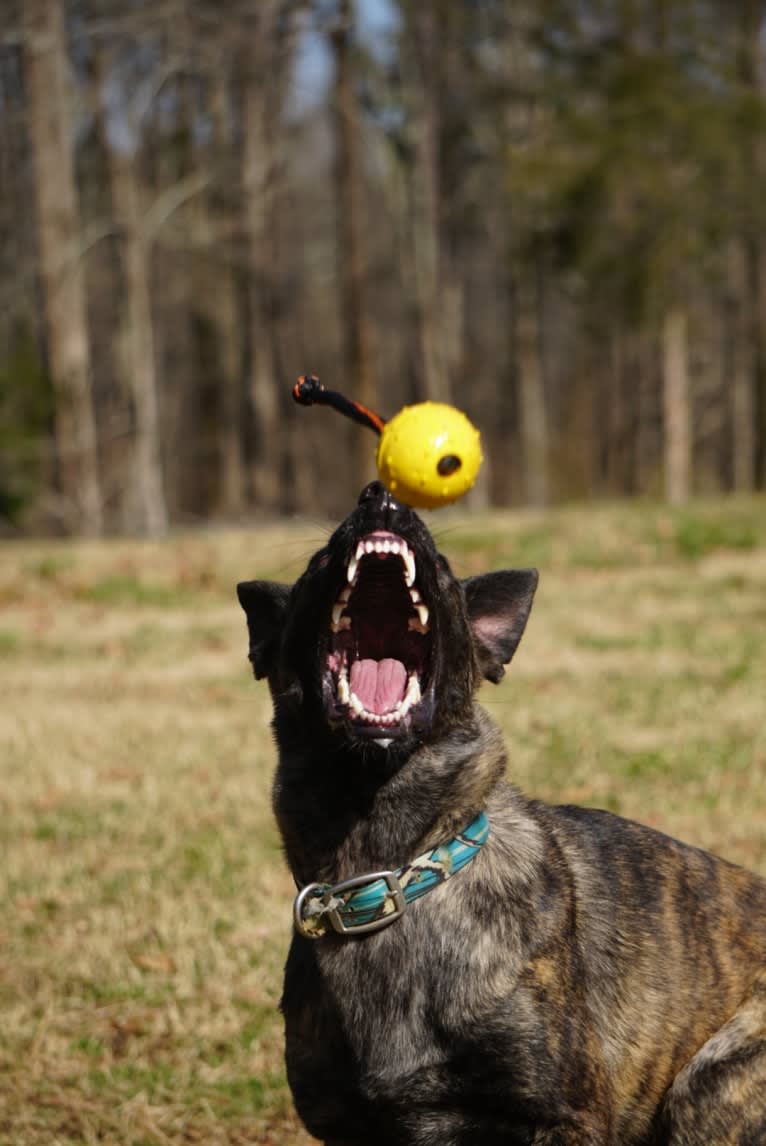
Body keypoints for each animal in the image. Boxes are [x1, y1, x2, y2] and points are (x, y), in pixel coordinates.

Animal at [237, 483, 766, 1146]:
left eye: (442, 566)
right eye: (316, 564)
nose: (381, 498)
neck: (390, 877)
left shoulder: (559, 1119)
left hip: (713, 1083)